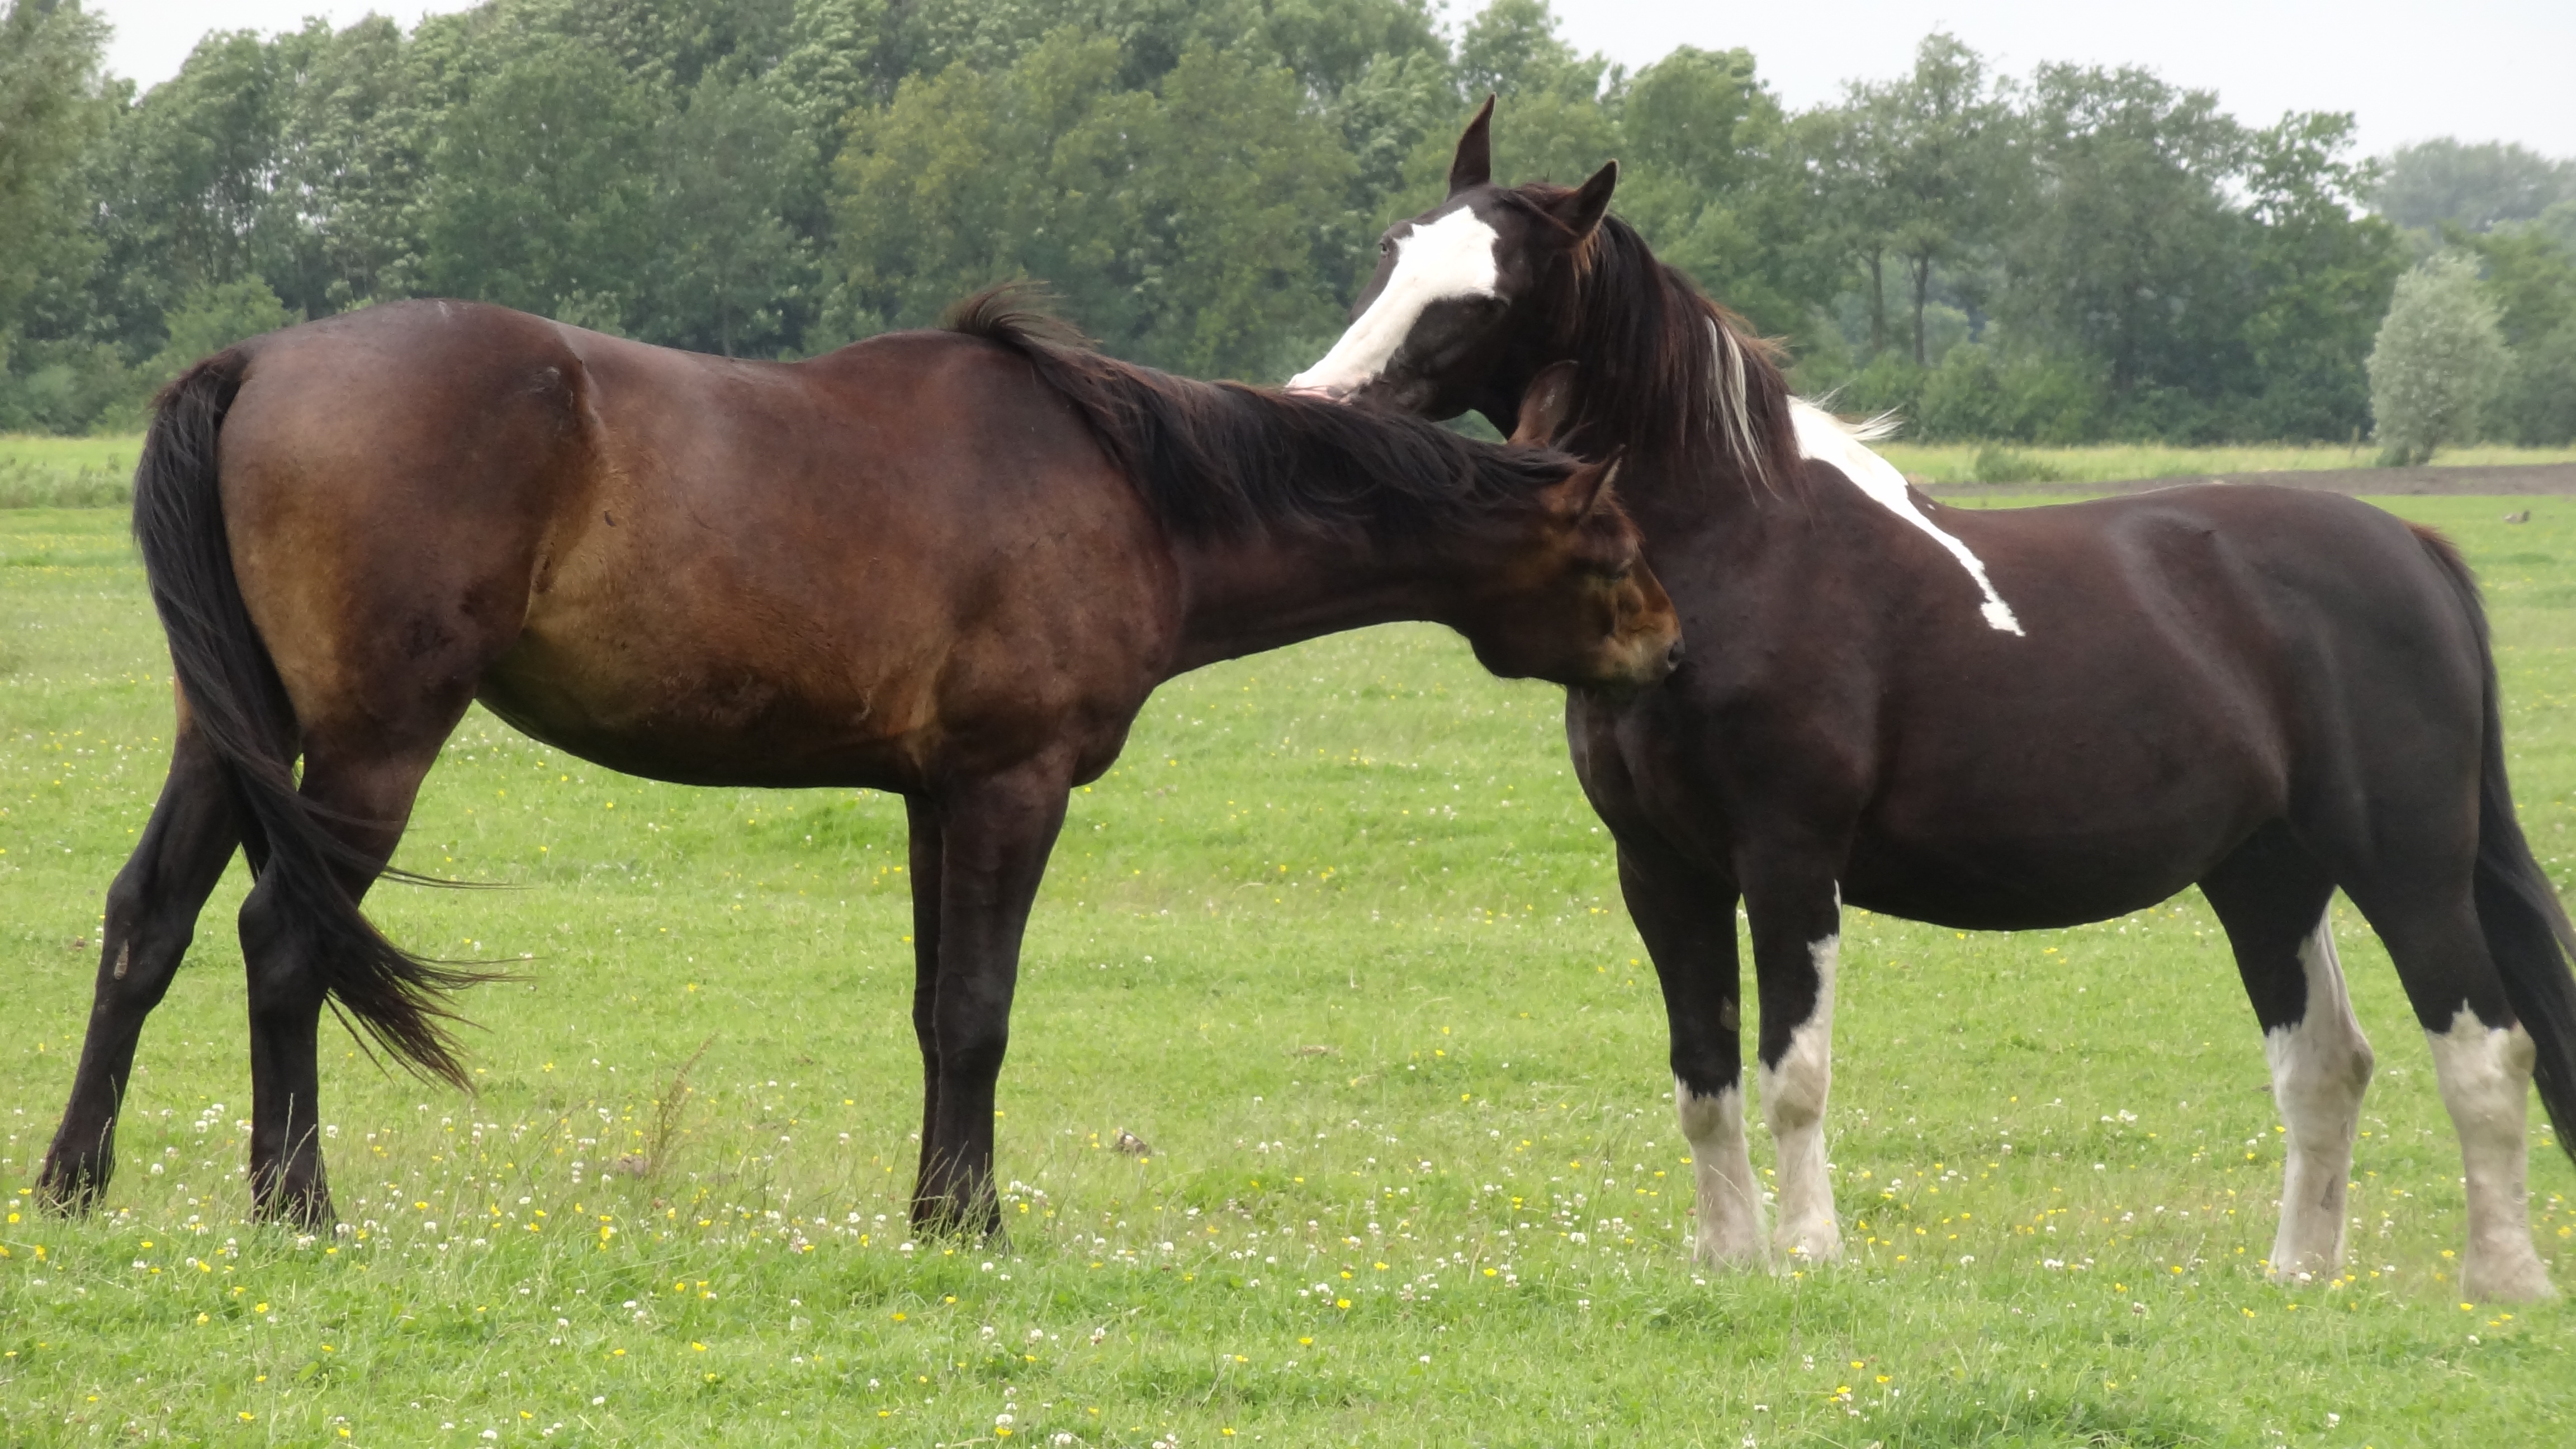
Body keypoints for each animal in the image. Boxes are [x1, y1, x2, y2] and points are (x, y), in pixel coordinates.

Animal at [45, 285, 1689, 1227]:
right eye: (1613, 549)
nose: (1672, 660)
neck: (1128, 488)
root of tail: (256, 364)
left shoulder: (929, 799)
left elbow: (928, 1010)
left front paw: (934, 1202)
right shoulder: (1012, 786)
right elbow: (978, 1012)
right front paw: (971, 1218)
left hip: (231, 737)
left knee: (147, 924)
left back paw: (74, 1181)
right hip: (369, 747)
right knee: (280, 939)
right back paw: (295, 1204)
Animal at [1288, 102, 2576, 1299]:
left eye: (1487, 294)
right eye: (1391, 253)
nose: (1321, 406)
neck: (1742, 550)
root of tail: (2409, 547)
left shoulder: (1789, 858)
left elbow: (1790, 1074)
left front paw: (1810, 1253)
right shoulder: (1660, 870)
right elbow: (1703, 1075)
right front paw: (1726, 1257)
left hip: (2405, 862)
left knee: (2485, 1045)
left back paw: (2501, 1279)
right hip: (2265, 871)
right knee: (2327, 1064)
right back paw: (2300, 1276)